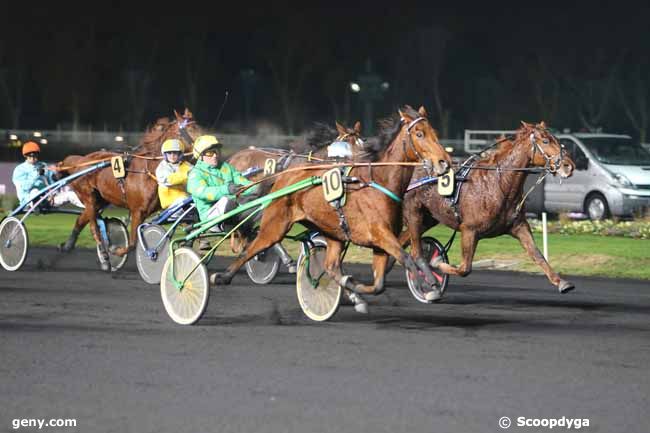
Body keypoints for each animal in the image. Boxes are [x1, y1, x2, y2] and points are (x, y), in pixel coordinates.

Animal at [60, 109, 204, 270]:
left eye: (198, 126)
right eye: (190, 129)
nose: (209, 145)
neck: (150, 170)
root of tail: (80, 161)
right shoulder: (137, 211)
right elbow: (134, 242)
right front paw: (117, 251)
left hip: (100, 200)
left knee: (80, 219)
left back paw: (67, 245)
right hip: (89, 197)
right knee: (93, 226)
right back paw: (104, 257)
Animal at [211, 105, 450, 300]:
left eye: (435, 133)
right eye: (419, 134)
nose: (444, 162)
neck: (379, 181)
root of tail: (283, 176)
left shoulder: (381, 241)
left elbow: (379, 283)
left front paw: (355, 288)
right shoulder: (380, 234)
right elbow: (407, 258)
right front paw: (428, 287)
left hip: (331, 231)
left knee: (331, 266)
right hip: (276, 225)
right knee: (253, 246)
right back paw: (222, 276)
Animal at [398, 120, 576, 292]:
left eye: (557, 140)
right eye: (545, 141)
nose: (569, 166)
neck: (498, 183)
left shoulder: (519, 226)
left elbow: (537, 254)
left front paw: (561, 282)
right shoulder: (469, 230)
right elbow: (464, 268)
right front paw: (436, 262)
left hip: (427, 219)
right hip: (413, 214)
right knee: (413, 249)